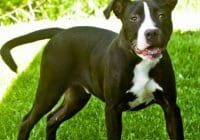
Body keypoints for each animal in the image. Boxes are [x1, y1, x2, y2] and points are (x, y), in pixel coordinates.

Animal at [0, 0, 184, 140]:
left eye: (161, 16)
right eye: (134, 18)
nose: (151, 33)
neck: (140, 62)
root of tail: (60, 32)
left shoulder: (171, 106)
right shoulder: (112, 109)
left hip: (76, 97)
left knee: (52, 119)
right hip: (50, 89)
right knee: (27, 121)